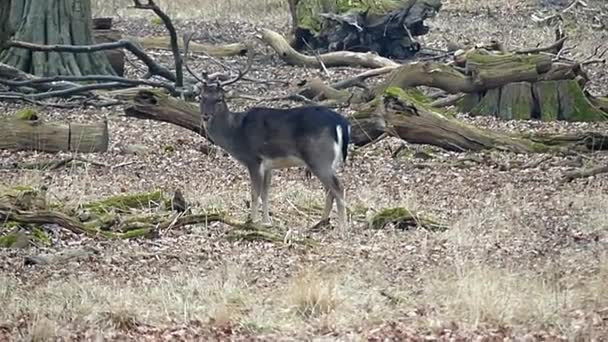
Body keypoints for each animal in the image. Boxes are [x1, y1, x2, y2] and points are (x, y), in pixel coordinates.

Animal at [182, 34, 352, 230]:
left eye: (219, 99)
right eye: (201, 97)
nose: (205, 116)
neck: (235, 132)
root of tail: (341, 123)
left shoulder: (253, 159)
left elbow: (254, 193)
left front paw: (253, 222)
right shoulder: (269, 165)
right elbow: (265, 193)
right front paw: (266, 222)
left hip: (319, 156)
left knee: (338, 187)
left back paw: (342, 228)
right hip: (330, 161)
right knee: (330, 189)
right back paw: (319, 223)